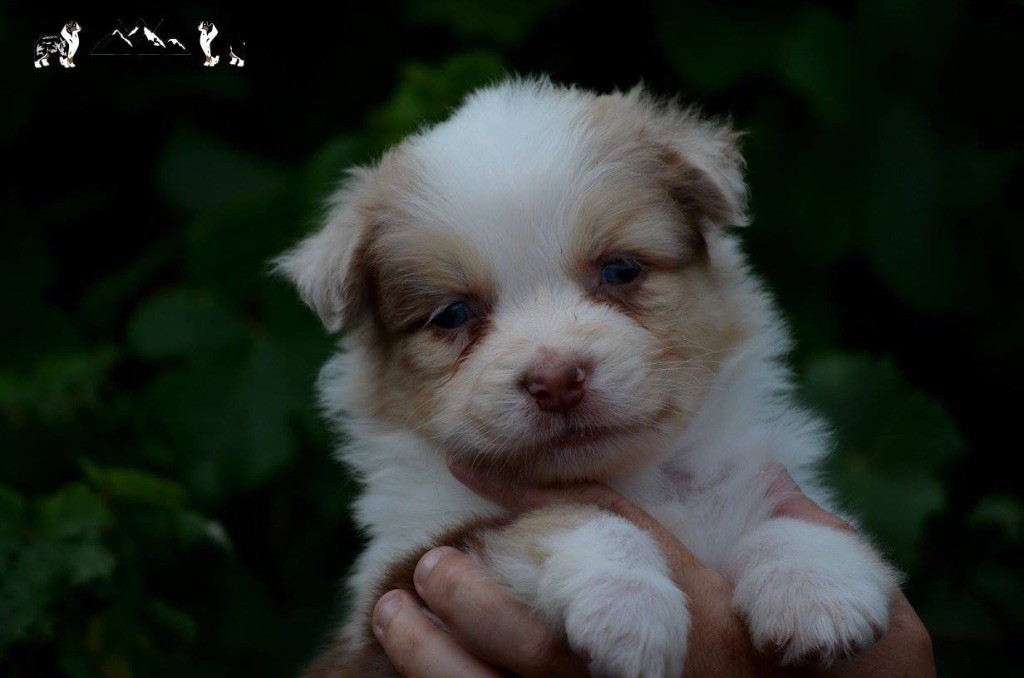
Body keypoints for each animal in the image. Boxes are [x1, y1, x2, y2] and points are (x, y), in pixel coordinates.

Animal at [277, 79, 900, 677]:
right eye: (453, 314)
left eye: (619, 270)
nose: (555, 380)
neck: (631, 480)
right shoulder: (406, 575)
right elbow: (569, 513)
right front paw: (628, 608)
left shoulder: (744, 475)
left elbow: (778, 511)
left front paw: (817, 588)